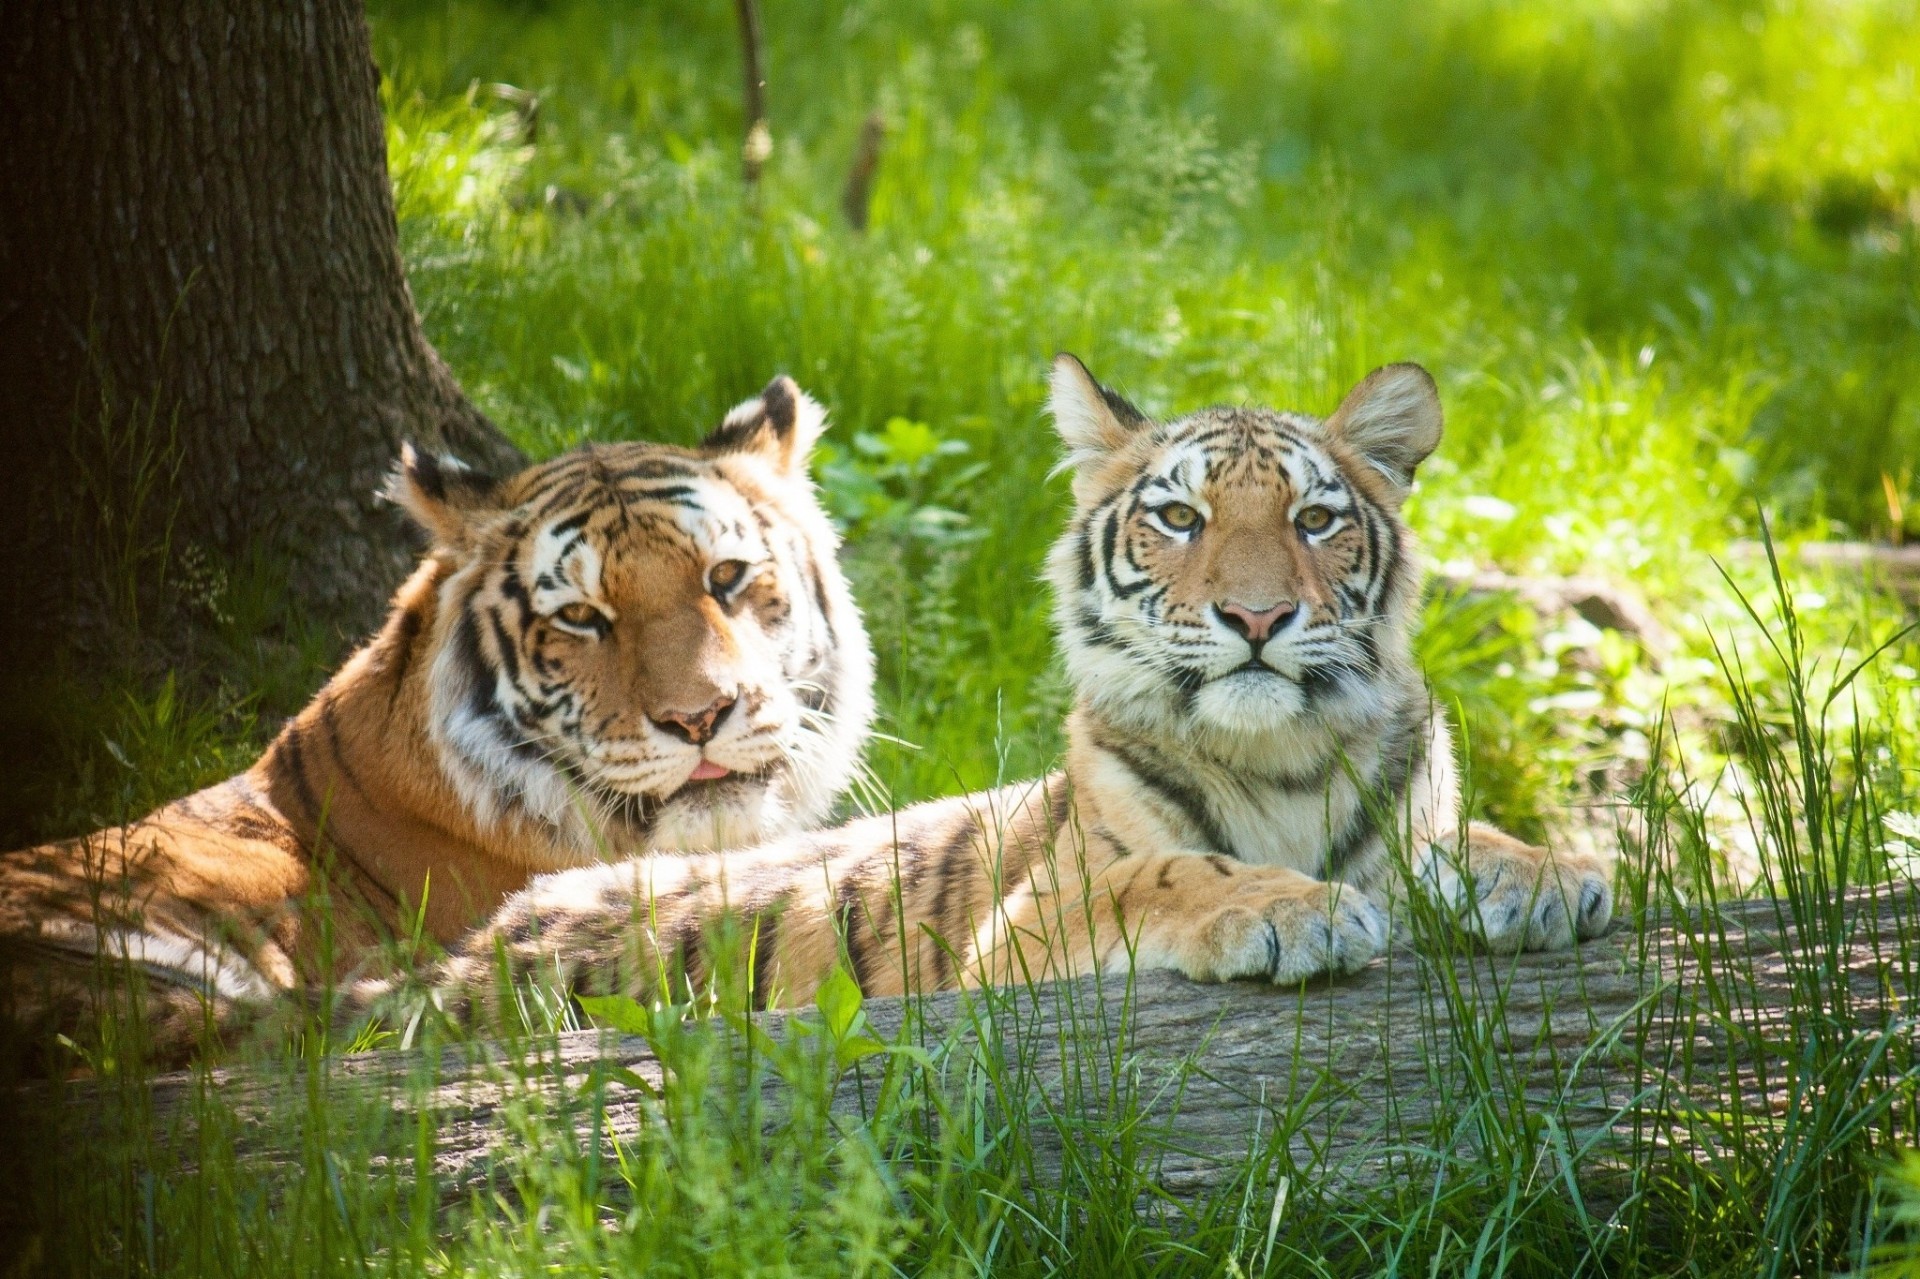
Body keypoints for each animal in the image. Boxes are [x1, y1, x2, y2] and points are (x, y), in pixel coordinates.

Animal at [424, 356, 1615, 1016]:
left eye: (1315, 519)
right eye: (1179, 516)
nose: (1257, 618)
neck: (1281, 759)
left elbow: (1461, 835)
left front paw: (1544, 875)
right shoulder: (1024, 931)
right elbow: (1167, 873)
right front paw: (1287, 909)